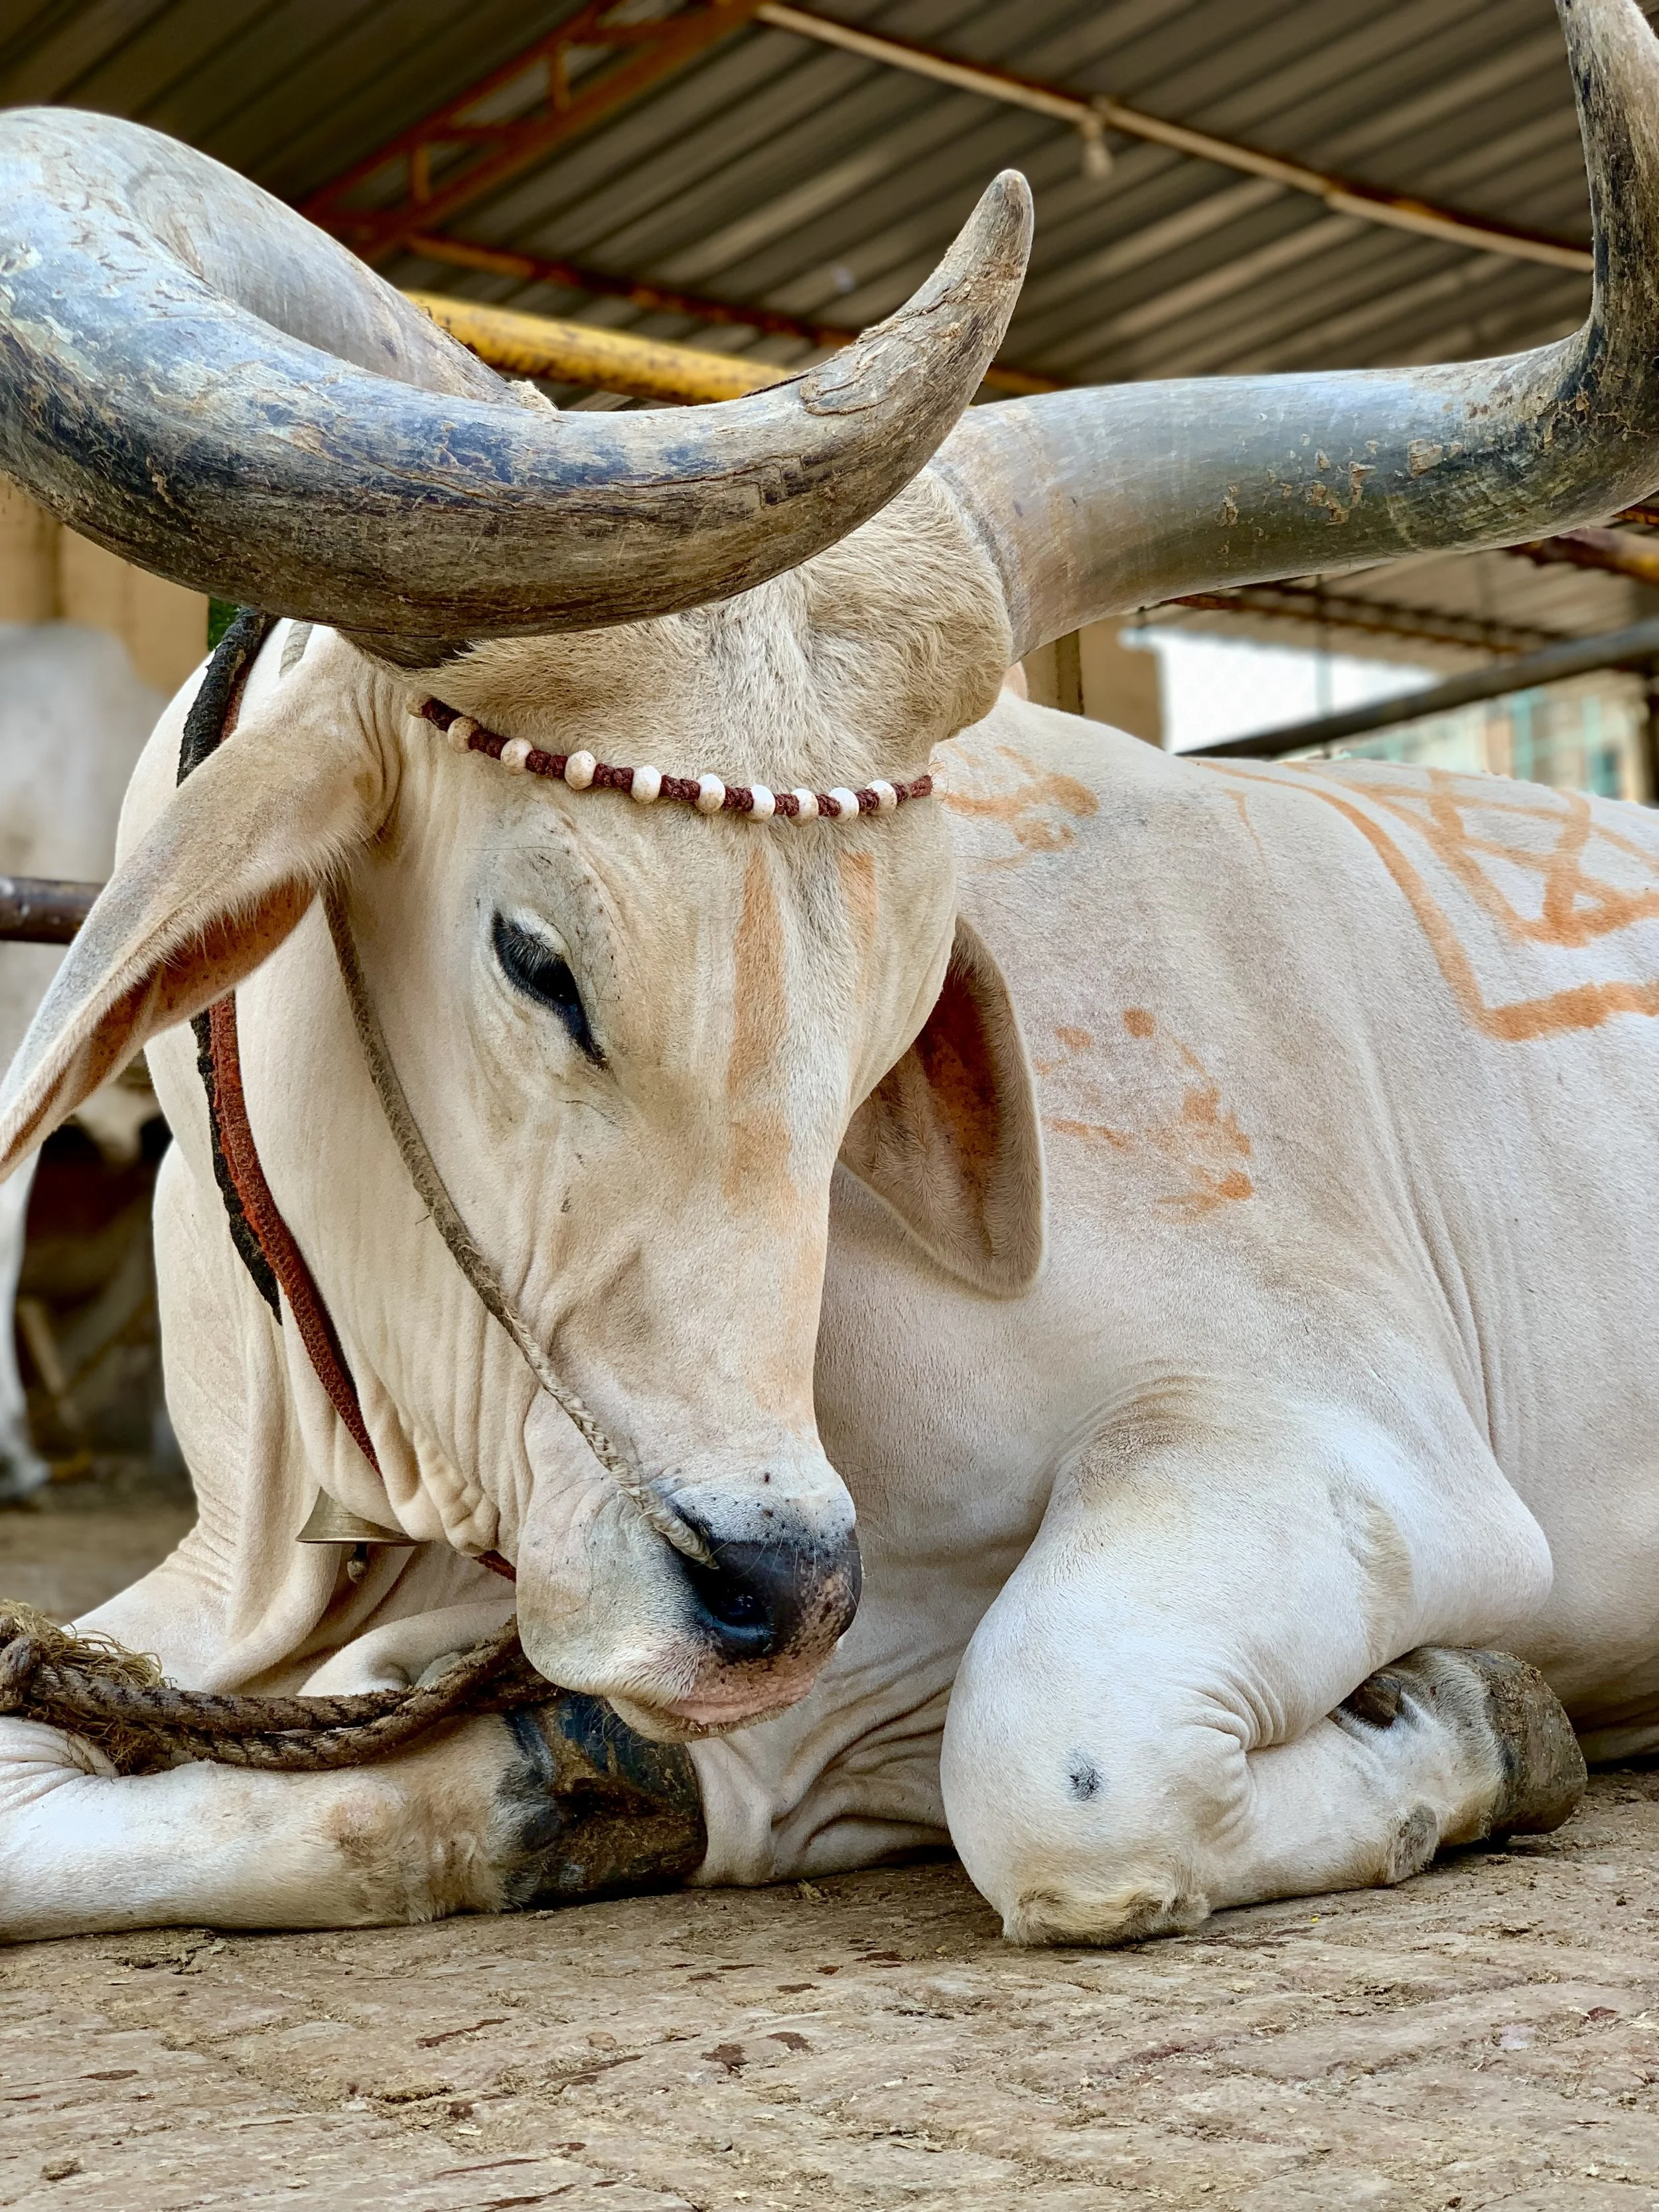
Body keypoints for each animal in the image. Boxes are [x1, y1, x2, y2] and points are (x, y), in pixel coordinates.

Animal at [1, 0, 1658, 1946]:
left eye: (898, 1013)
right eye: (535, 959)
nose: (771, 1588)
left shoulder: (1365, 1452)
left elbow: (1053, 1758)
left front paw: (1482, 1709)